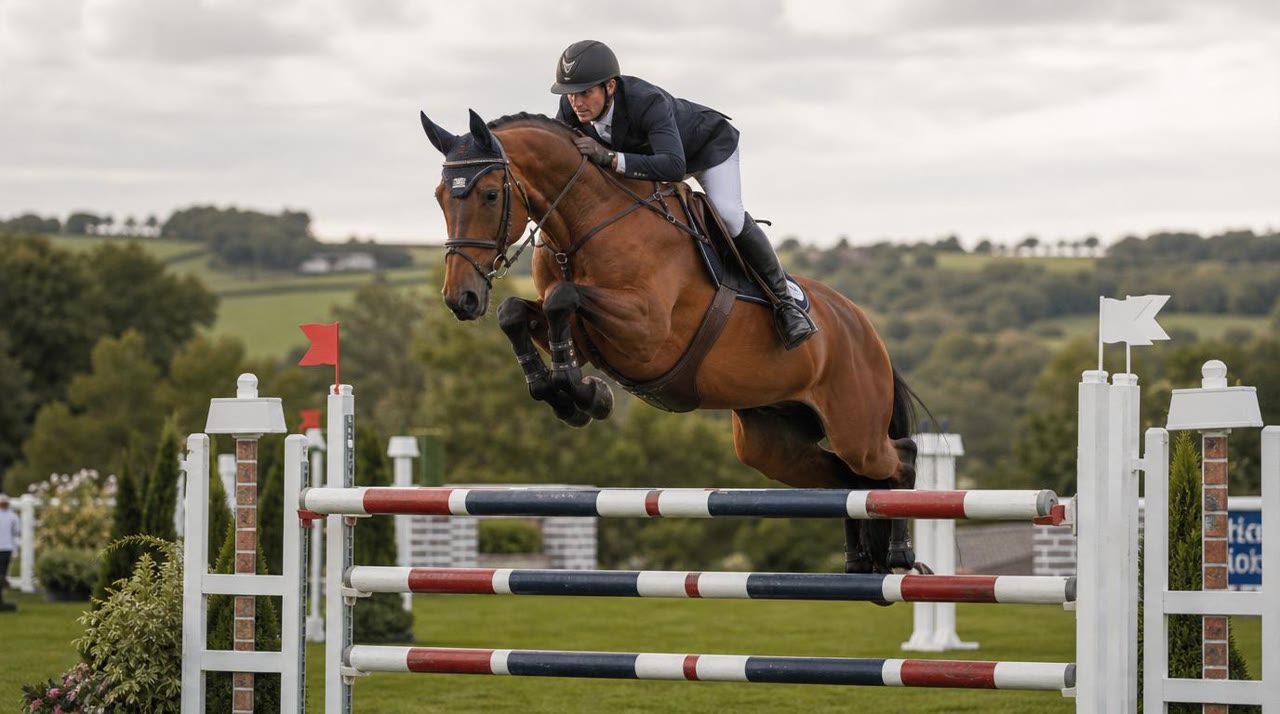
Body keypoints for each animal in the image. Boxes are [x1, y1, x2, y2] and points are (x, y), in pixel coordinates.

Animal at [420, 109, 924, 577]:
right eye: (440, 197)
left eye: (489, 194)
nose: (461, 298)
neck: (585, 225)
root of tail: (867, 330)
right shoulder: (580, 330)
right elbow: (516, 313)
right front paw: (571, 395)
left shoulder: (647, 332)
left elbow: (565, 298)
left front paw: (584, 393)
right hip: (773, 444)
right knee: (845, 480)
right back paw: (859, 562)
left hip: (854, 426)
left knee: (897, 459)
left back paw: (898, 555)